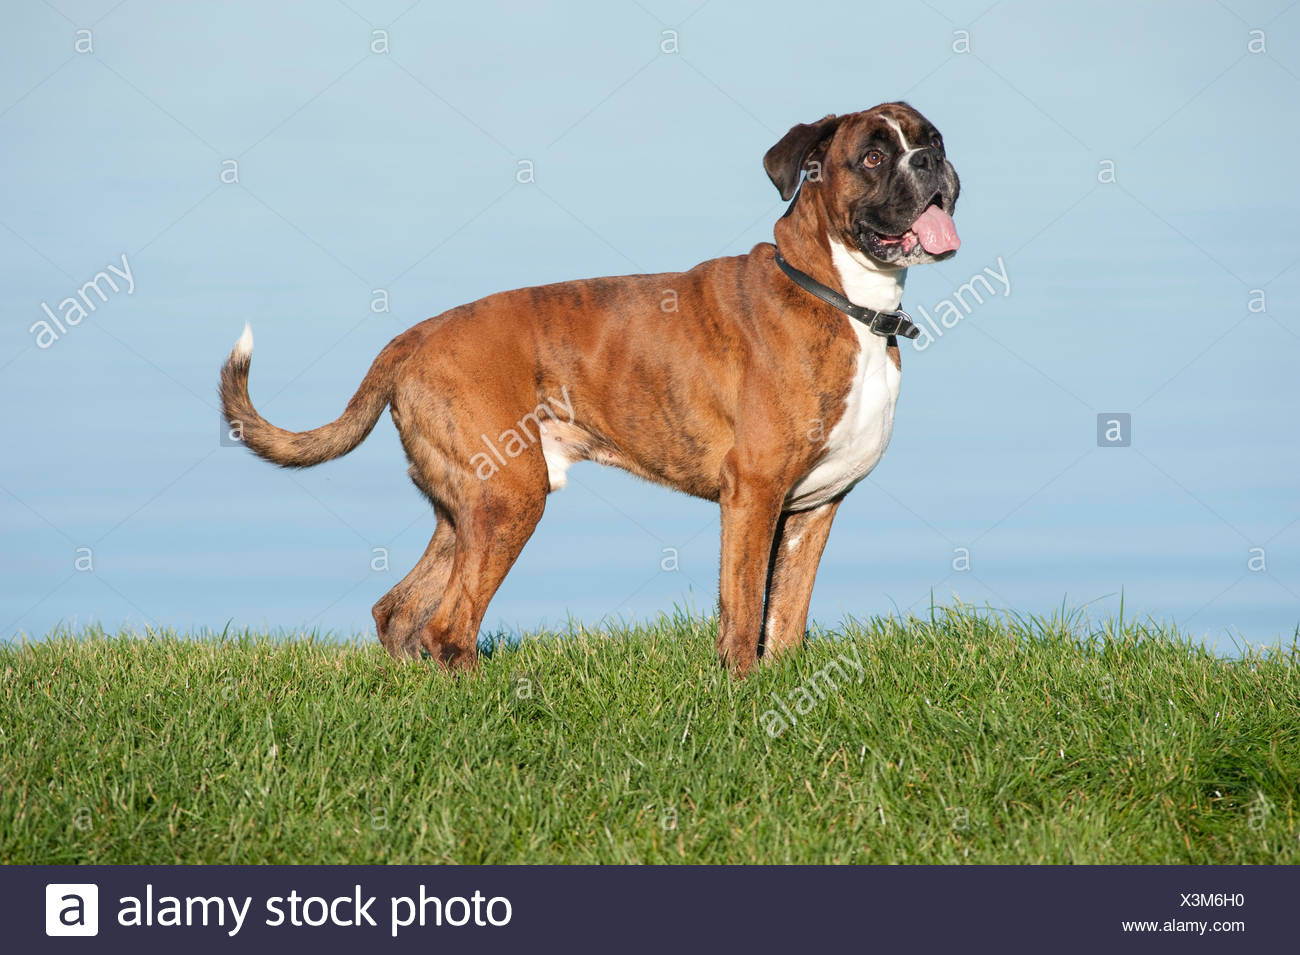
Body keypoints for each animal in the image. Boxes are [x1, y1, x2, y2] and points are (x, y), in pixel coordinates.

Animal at [220, 102, 956, 670]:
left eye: (934, 138)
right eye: (872, 157)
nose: (929, 162)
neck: (843, 298)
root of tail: (414, 337)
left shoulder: (812, 510)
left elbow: (785, 620)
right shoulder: (754, 496)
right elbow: (745, 611)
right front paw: (741, 691)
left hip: (468, 508)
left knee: (399, 612)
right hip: (508, 499)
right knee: (449, 626)